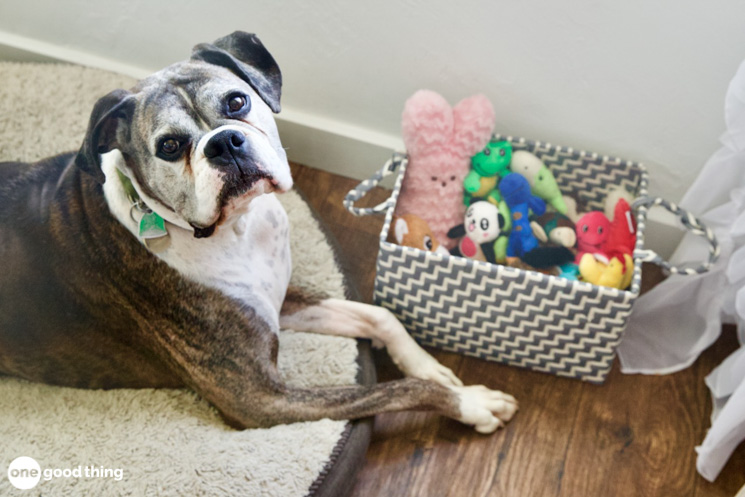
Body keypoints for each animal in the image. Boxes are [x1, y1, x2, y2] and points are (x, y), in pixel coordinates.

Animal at [0, 31, 516, 432]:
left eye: (237, 102)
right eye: (169, 146)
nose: (225, 143)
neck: (236, 229)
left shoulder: (280, 300)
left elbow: (379, 316)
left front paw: (435, 368)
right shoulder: (261, 399)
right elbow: (395, 391)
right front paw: (470, 402)